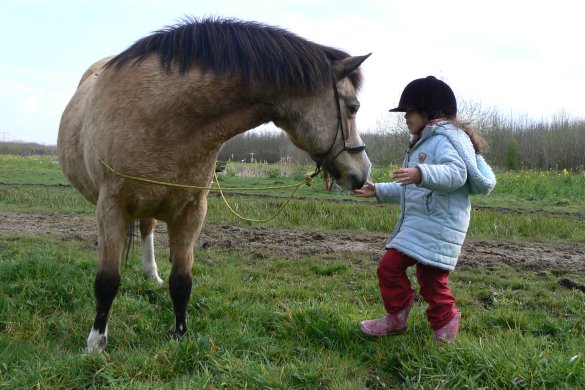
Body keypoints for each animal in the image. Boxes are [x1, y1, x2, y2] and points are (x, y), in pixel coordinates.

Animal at [58, 16, 370, 352]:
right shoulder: (111, 208)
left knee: (147, 230)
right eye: (353, 107)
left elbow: (181, 281)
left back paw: (151, 274)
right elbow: (107, 281)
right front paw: (95, 344)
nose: (363, 171)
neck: (160, 117)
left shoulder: (192, 211)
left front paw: (180, 336)